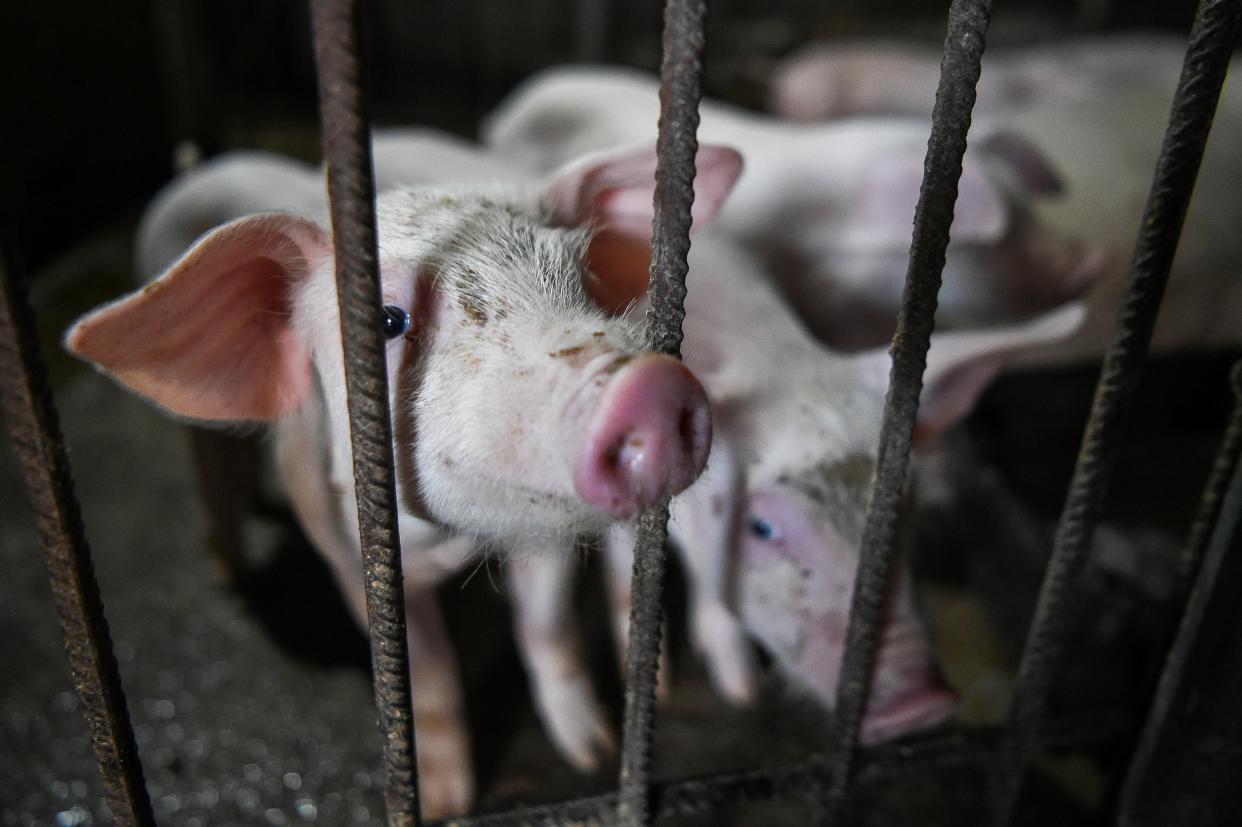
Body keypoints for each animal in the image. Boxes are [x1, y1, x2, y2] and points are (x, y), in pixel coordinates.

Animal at [60, 140, 735, 809]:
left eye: (585, 279)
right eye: (388, 321)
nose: (652, 384)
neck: (450, 546)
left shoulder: (538, 535)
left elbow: (548, 628)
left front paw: (591, 750)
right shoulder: (349, 555)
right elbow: (429, 683)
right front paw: (444, 805)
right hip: (206, 439)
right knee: (217, 473)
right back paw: (229, 571)